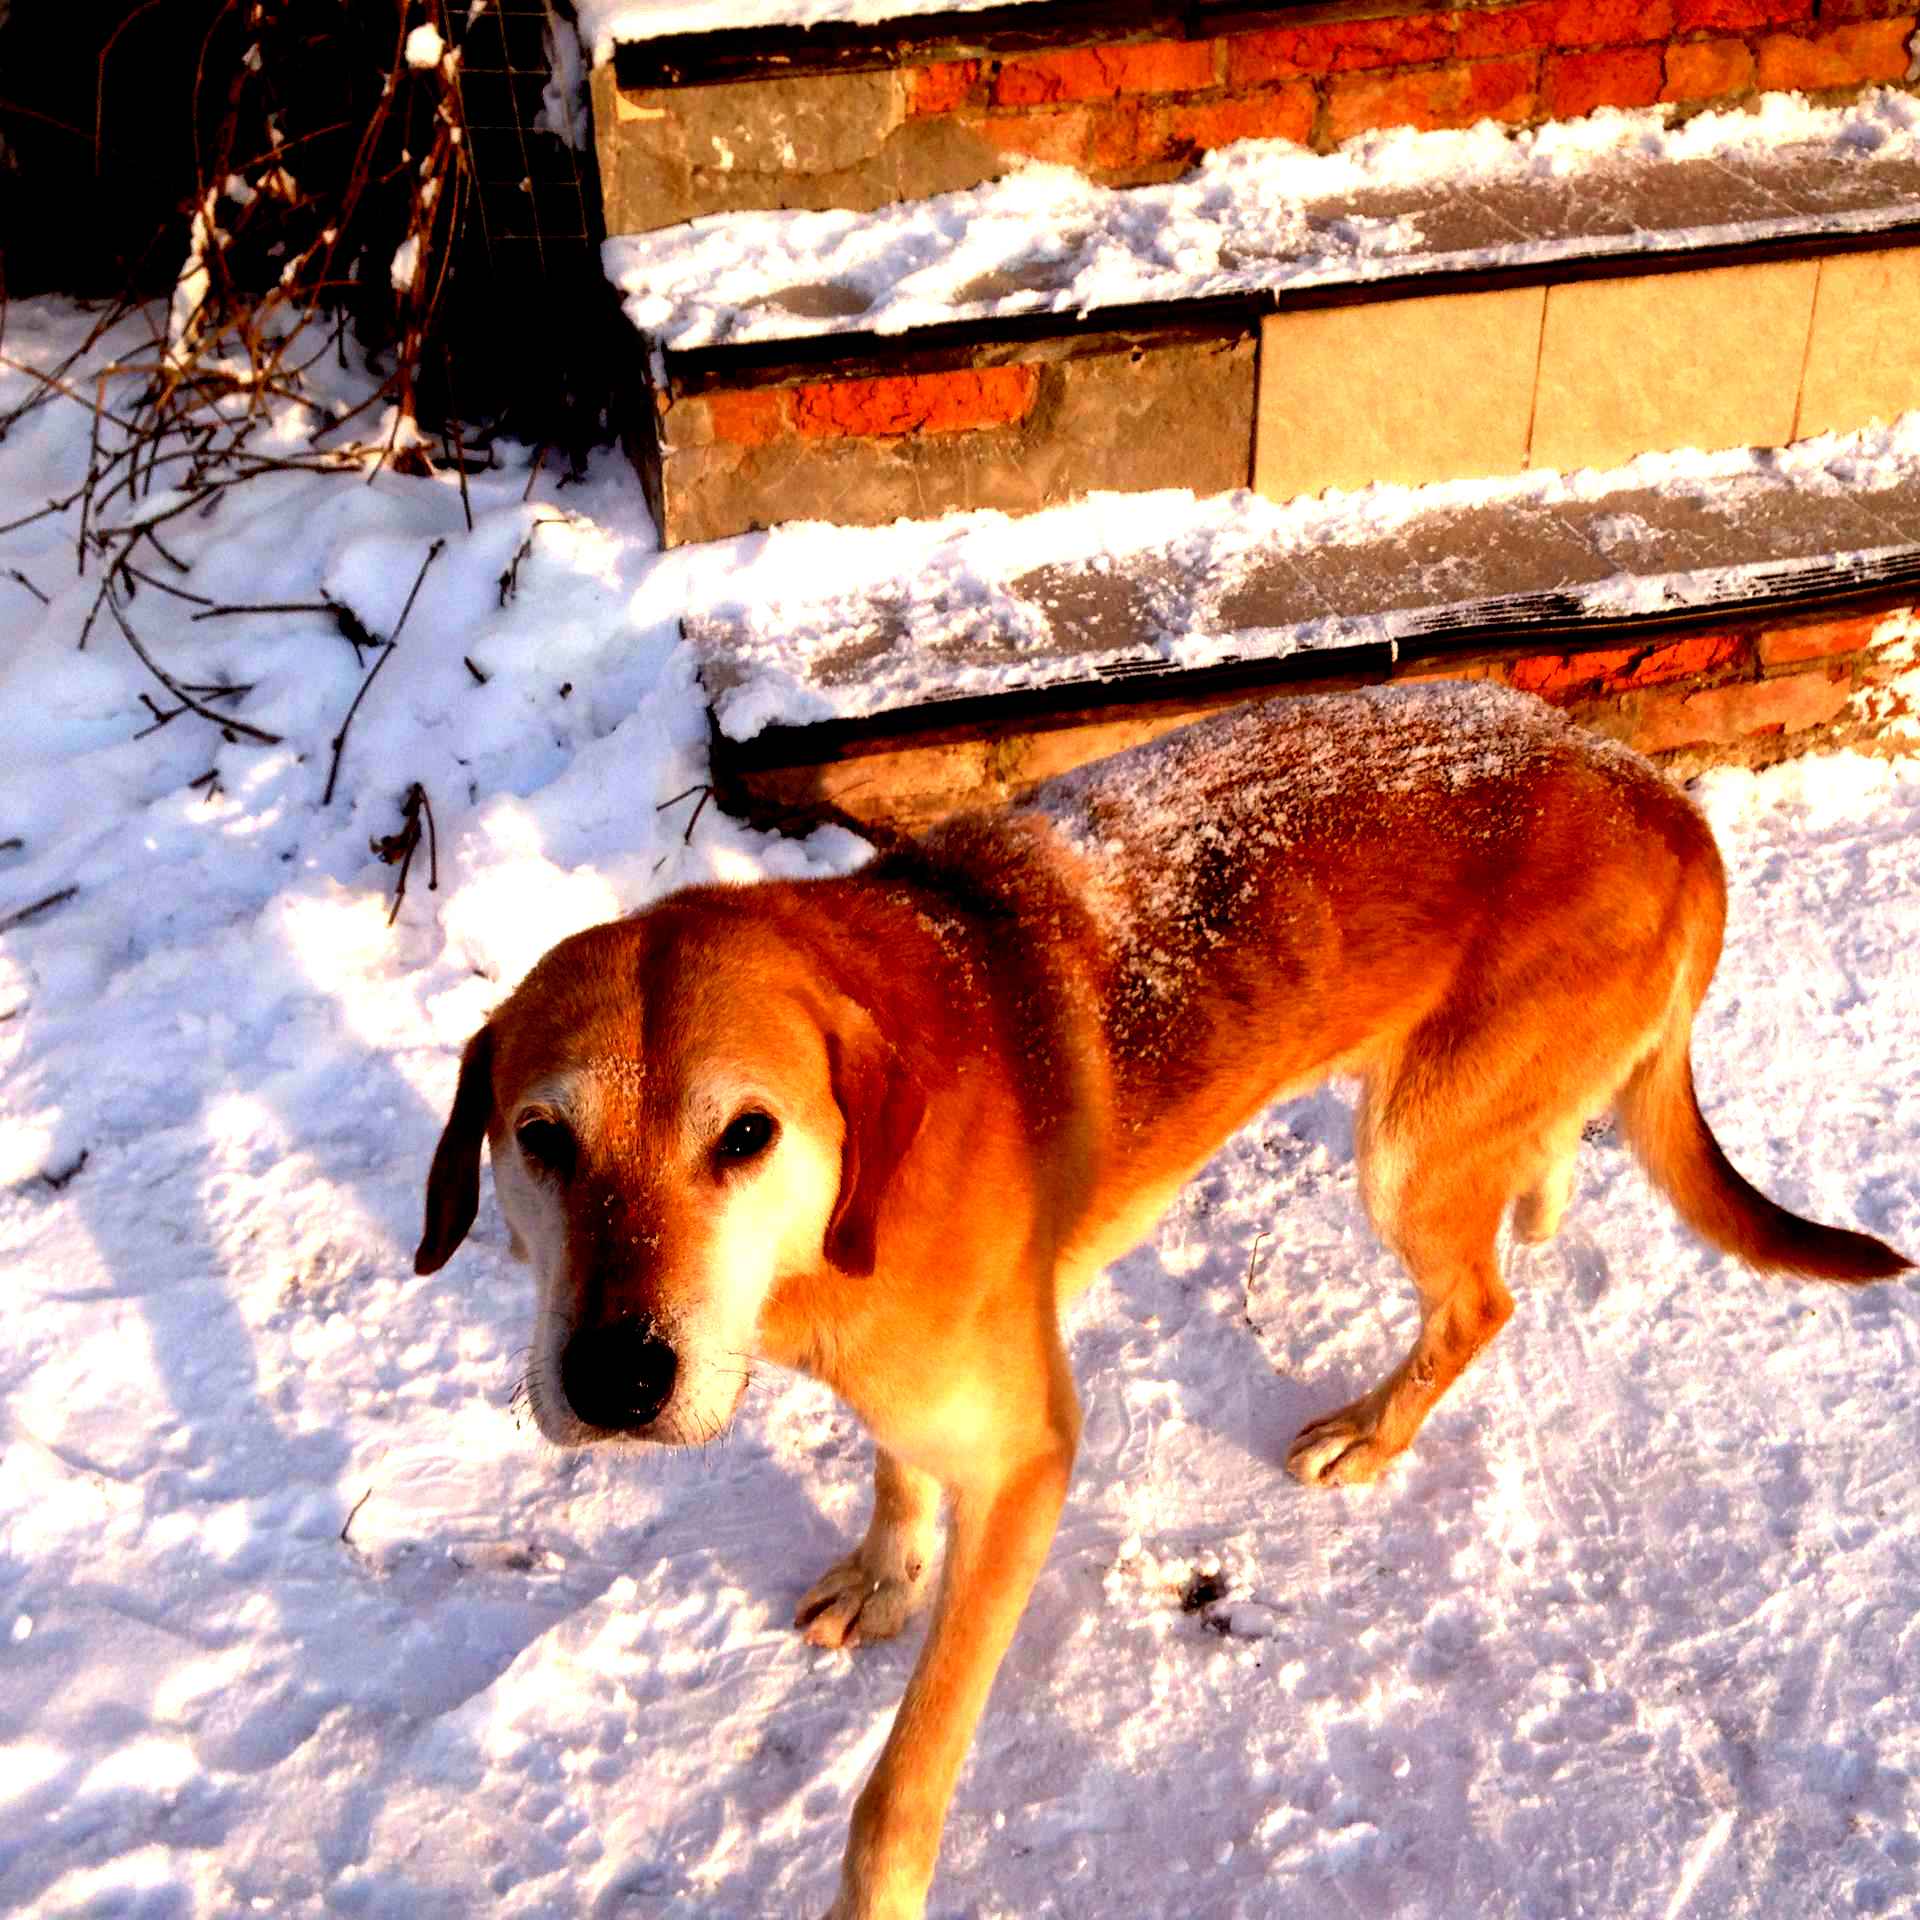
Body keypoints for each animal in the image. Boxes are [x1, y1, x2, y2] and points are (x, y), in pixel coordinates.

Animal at [412, 683, 1896, 1912]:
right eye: (539, 1139)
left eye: (745, 1135)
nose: (614, 1380)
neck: (832, 1236)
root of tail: (1664, 798)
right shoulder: (906, 1382)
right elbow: (892, 1467)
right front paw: (884, 1569)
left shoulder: (1026, 1466)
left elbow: (901, 1786)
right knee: (1540, 1180)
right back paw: (1542, 1190)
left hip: (1404, 1153)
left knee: (1481, 1305)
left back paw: (1376, 1430)